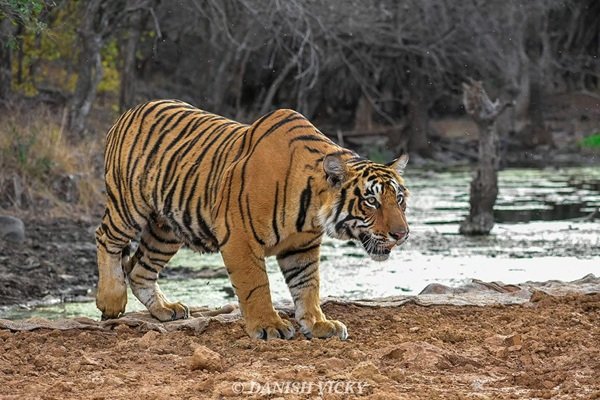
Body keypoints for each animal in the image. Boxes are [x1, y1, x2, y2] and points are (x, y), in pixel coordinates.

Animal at [97, 100, 408, 340]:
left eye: (400, 199)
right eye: (371, 201)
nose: (402, 234)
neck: (311, 212)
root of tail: (130, 110)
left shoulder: (302, 247)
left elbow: (308, 285)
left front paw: (319, 324)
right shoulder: (240, 238)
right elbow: (256, 285)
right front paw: (269, 326)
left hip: (168, 229)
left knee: (139, 269)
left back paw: (165, 309)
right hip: (129, 206)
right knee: (106, 238)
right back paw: (111, 300)